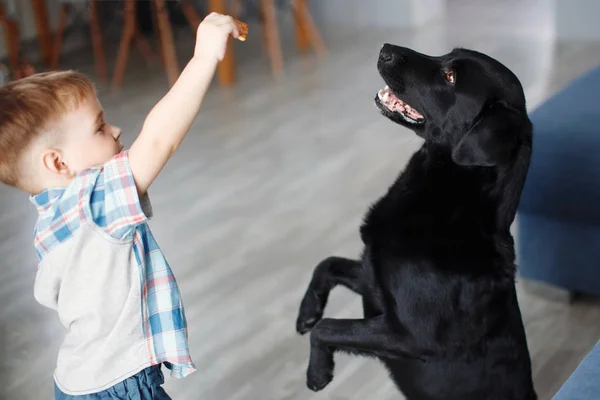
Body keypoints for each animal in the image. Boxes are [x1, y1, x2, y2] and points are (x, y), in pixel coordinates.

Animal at [298, 44, 536, 400]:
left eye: (450, 77)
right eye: (448, 55)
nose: (385, 49)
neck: (452, 208)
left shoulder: (406, 336)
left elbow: (327, 328)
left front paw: (317, 371)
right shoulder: (372, 279)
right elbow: (326, 264)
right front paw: (307, 311)